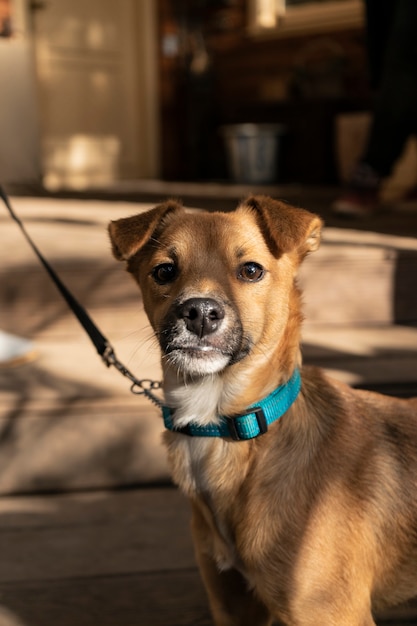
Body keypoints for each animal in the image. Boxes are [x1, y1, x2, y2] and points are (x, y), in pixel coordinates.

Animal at [109, 196, 416, 624]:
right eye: (164, 271)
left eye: (251, 270)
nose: (199, 313)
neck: (227, 428)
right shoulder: (234, 606)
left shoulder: (332, 613)